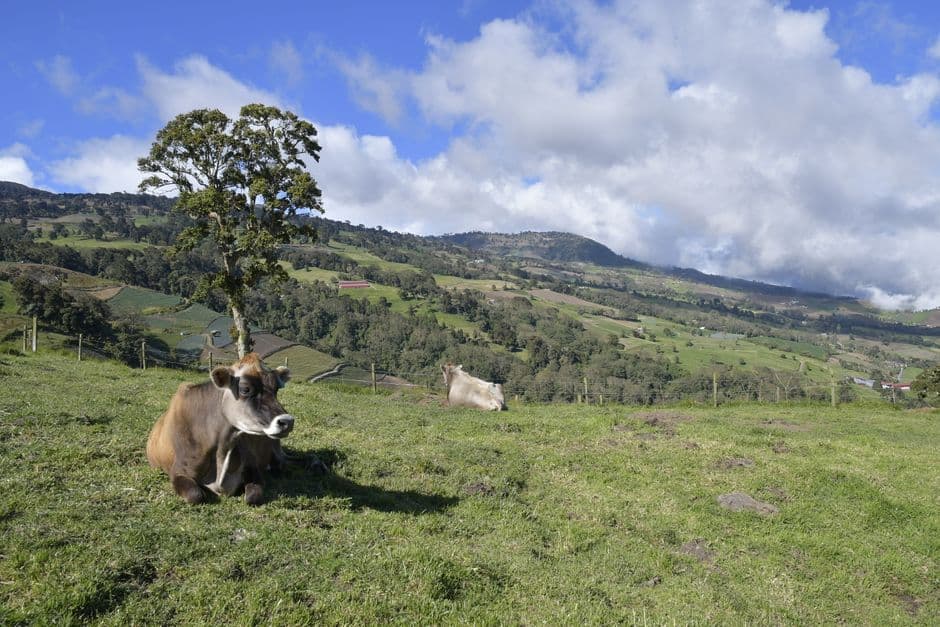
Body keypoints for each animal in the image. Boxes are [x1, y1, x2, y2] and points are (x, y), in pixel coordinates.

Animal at [146, 353, 295, 506]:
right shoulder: (179, 471)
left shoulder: (252, 466)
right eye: (245, 389)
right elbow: (196, 495)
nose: (287, 421)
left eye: (276, 389)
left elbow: (253, 497)